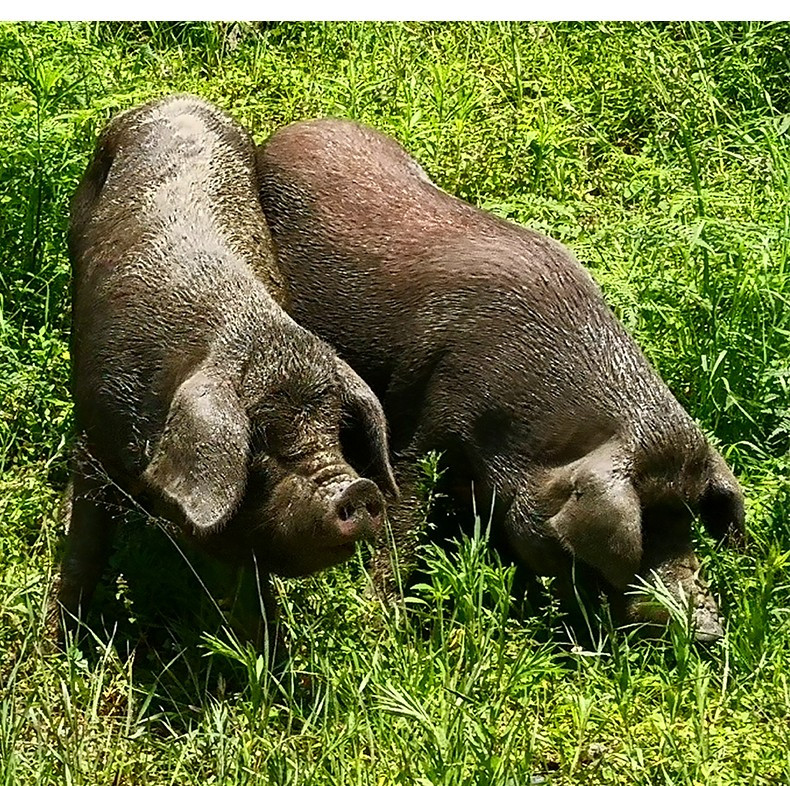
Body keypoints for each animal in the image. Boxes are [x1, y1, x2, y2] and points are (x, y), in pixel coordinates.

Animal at [51, 96, 396, 648]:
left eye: (337, 432)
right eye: (262, 445)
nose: (358, 488)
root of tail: (176, 97)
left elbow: (254, 587)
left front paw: (267, 654)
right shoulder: (99, 430)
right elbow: (86, 548)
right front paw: (61, 641)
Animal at [258, 118, 748, 644]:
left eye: (689, 523)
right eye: (641, 534)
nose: (709, 627)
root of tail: (292, 129)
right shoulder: (429, 419)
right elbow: (405, 511)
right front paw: (387, 624)